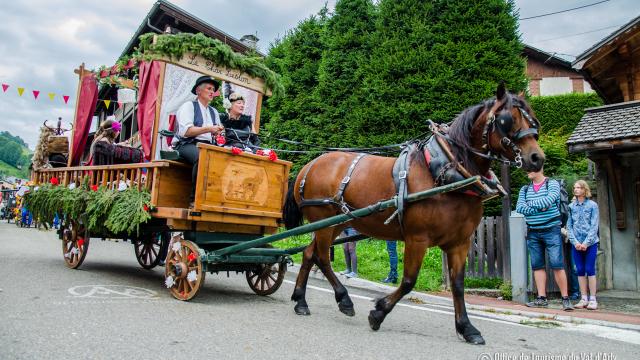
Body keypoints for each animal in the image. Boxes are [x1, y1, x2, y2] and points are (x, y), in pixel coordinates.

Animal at [282, 83, 544, 344]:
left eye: (533, 119)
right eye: (506, 120)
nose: (537, 158)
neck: (447, 173)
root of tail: (310, 165)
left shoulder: (460, 242)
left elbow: (458, 285)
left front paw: (467, 328)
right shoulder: (417, 239)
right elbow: (409, 281)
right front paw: (378, 312)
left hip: (336, 223)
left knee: (309, 253)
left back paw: (301, 300)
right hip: (325, 222)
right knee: (322, 257)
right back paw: (344, 299)